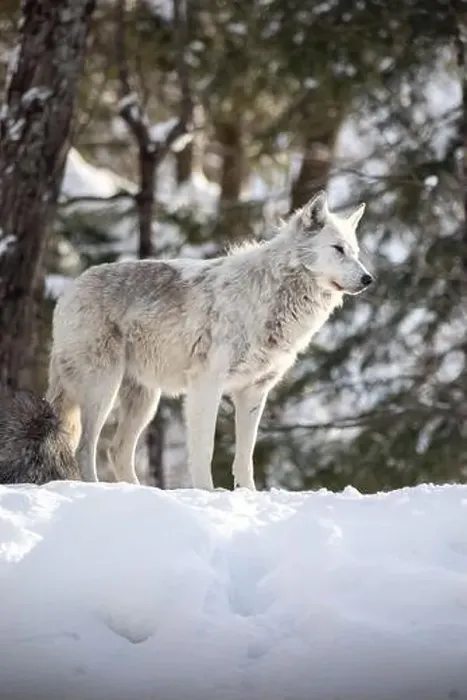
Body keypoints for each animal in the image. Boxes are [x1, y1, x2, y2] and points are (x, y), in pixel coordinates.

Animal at [46, 190, 373, 490]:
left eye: (356, 252)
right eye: (338, 249)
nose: (369, 279)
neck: (272, 297)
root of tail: (68, 291)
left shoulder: (254, 392)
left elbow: (245, 457)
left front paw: (247, 495)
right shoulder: (206, 386)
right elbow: (205, 451)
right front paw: (206, 494)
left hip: (145, 401)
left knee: (117, 451)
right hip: (104, 390)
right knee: (84, 448)